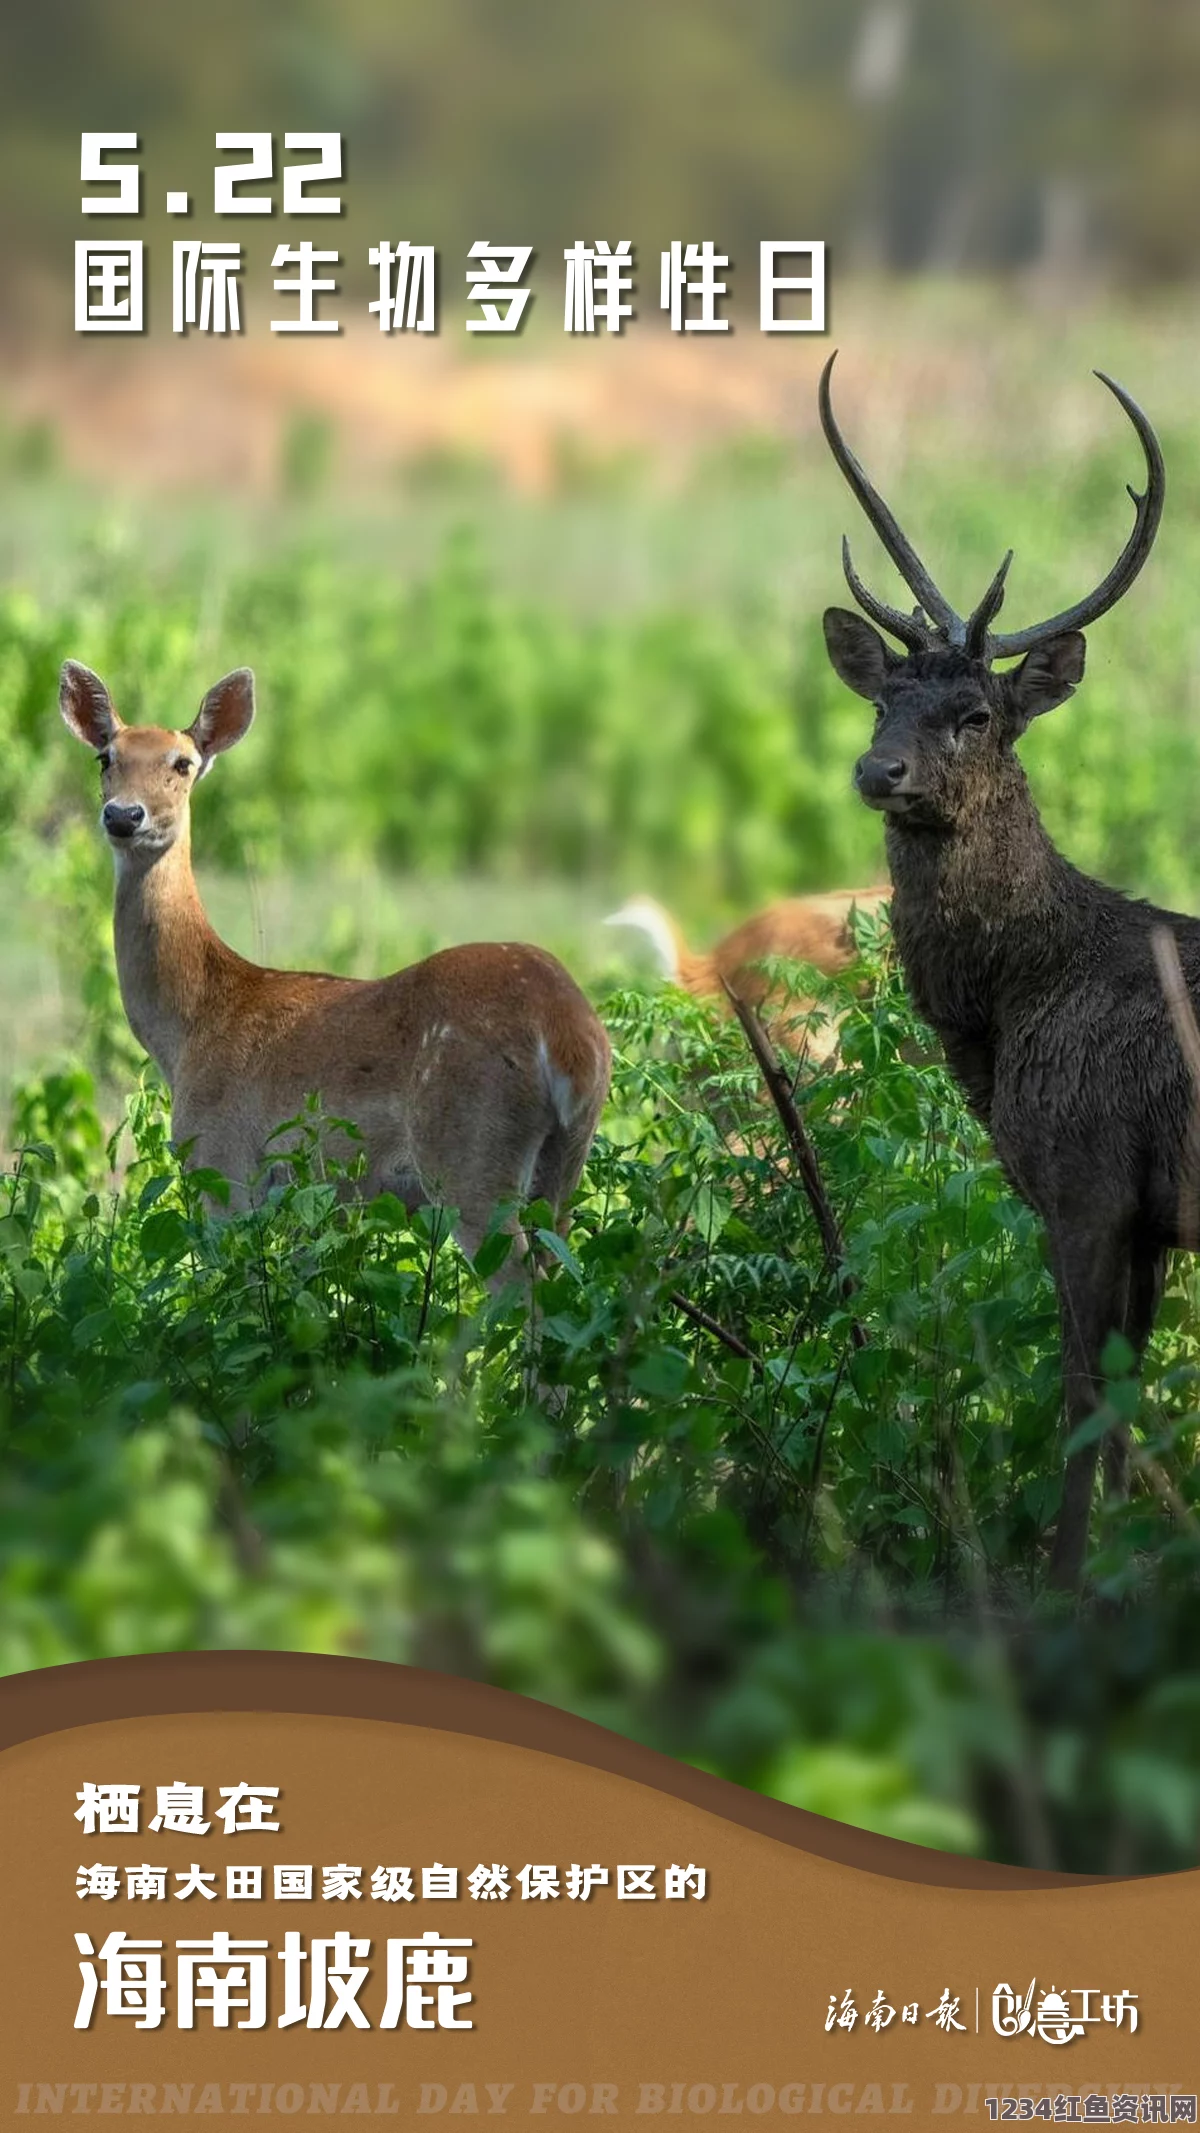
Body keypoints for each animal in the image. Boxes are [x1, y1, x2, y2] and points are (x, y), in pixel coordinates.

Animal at [56, 661, 609, 1262]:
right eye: (105, 757)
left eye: (182, 763)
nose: (123, 815)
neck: (192, 1027)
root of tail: (571, 1037)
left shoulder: (222, 1165)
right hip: (563, 1166)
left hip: (469, 1151)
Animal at [818, 354, 1176, 1586]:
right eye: (886, 699)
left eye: (977, 712)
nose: (878, 771)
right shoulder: (1146, 1216)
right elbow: (1131, 1399)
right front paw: (1119, 1562)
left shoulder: (1087, 1174)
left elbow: (1080, 1394)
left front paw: (1064, 1585)